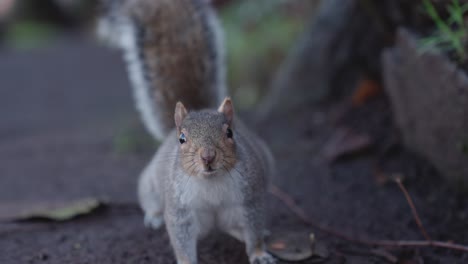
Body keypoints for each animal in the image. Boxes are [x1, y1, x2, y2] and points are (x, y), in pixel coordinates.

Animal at [97, 0, 276, 264]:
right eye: (182, 139)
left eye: (230, 133)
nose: (208, 157)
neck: (210, 182)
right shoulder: (180, 209)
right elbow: (181, 239)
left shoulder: (250, 198)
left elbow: (253, 229)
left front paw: (259, 253)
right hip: (151, 184)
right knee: (151, 201)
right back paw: (153, 216)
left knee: (237, 228)